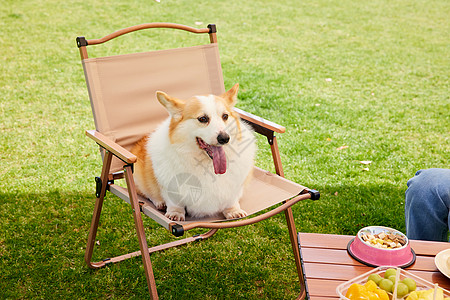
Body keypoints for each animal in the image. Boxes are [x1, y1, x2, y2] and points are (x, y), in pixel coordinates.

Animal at [132, 84, 255, 220]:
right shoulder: (169, 188)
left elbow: (232, 200)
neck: (207, 165)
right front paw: (175, 213)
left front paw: (233, 210)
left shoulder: (235, 188)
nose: (224, 138)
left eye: (225, 116)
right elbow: (174, 202)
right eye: (203, 119)